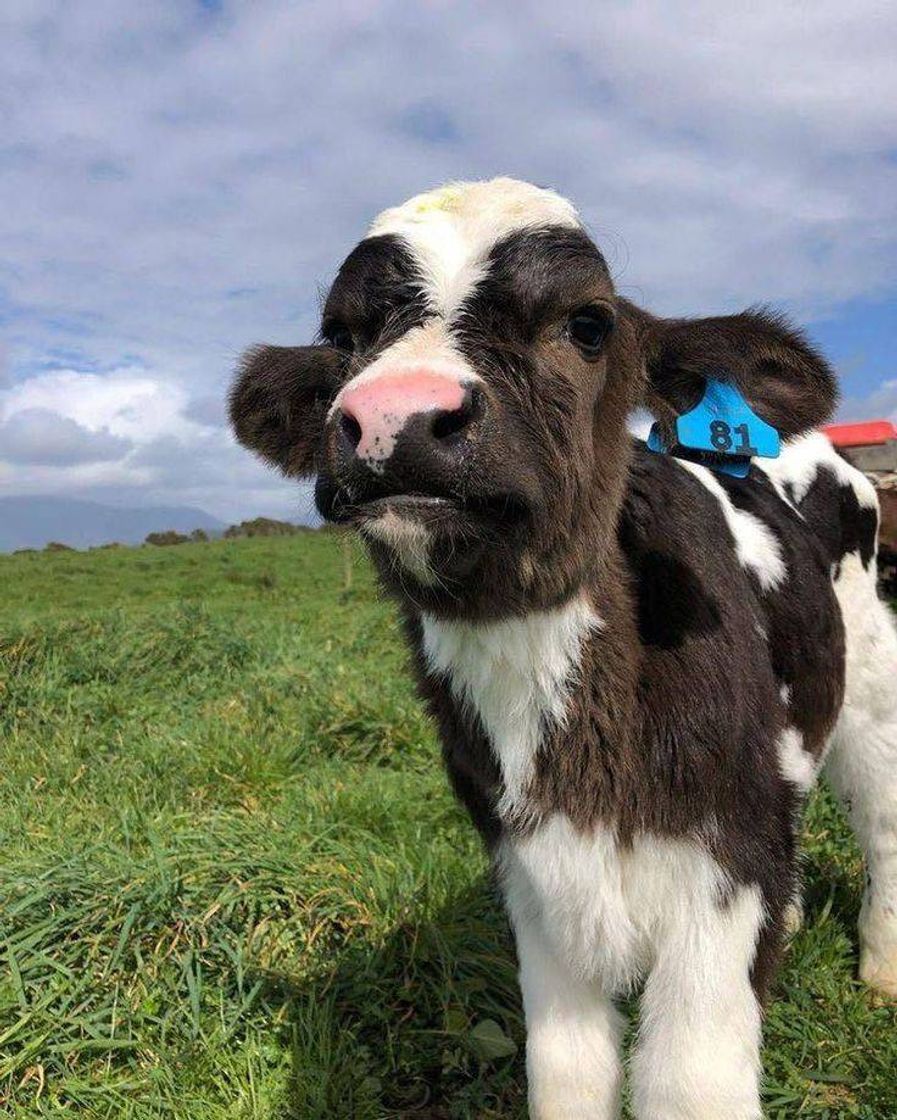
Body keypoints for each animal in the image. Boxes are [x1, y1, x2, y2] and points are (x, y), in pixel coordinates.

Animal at [229, 178, 897, 1119]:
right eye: (342, 336)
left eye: (587, 324)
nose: (393, 417)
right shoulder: (532, 877)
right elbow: (566, 1069)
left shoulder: (720, 870)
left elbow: (689, 1082)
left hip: (870, 678)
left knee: (882, 818)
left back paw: (880, 968)